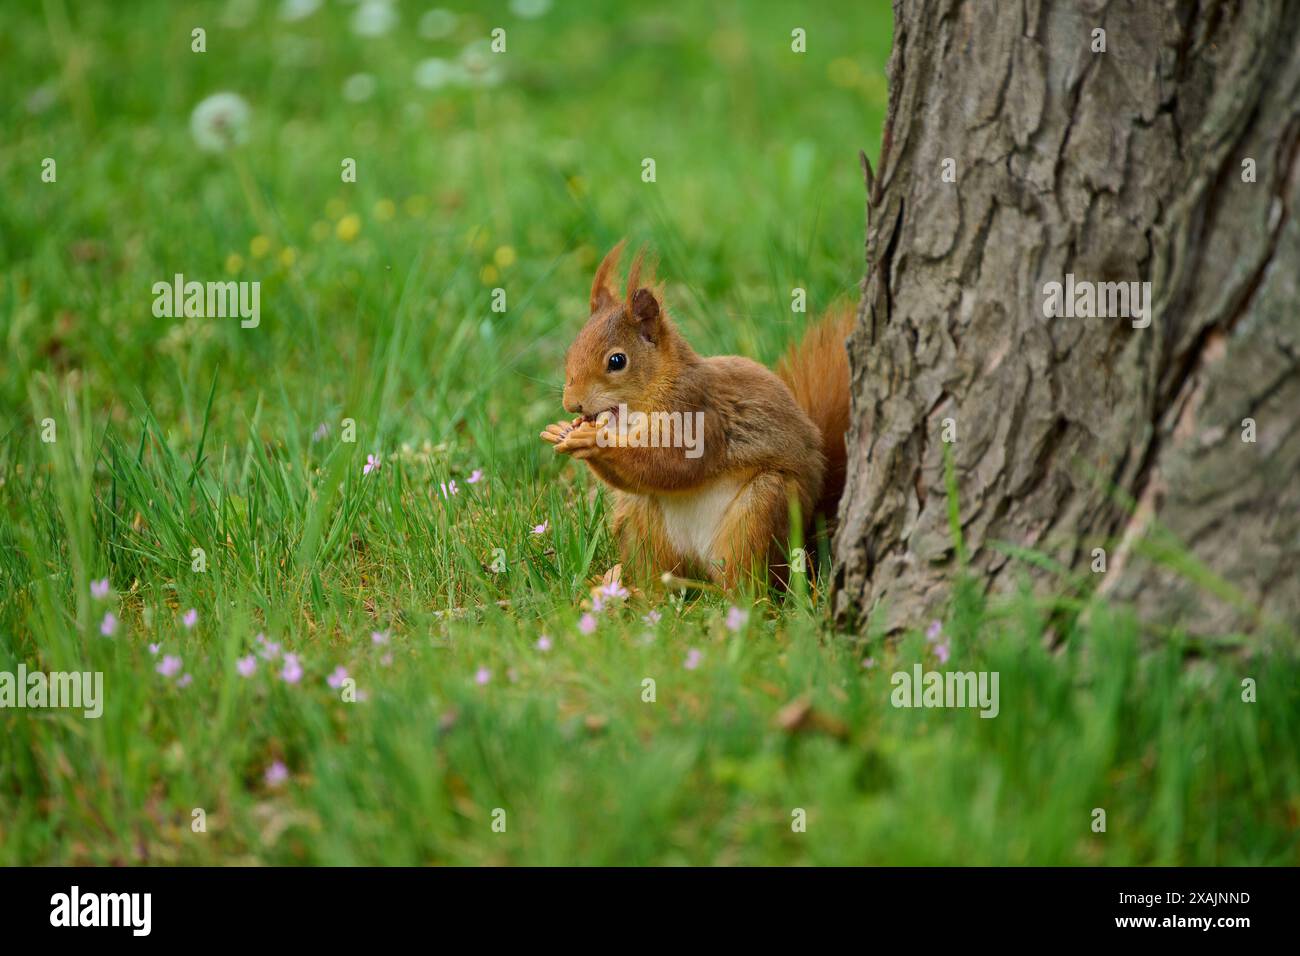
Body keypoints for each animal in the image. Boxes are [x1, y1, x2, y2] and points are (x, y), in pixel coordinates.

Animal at [538, 243, 852, 587]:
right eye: (571, 352)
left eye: (617, 361)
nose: (572, 404)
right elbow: (639, 478)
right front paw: (562, 430)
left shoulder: (697, 412)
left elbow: (675, 464)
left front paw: (595, 440)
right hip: (647, 525)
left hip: (763, 507)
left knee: (747, 577)